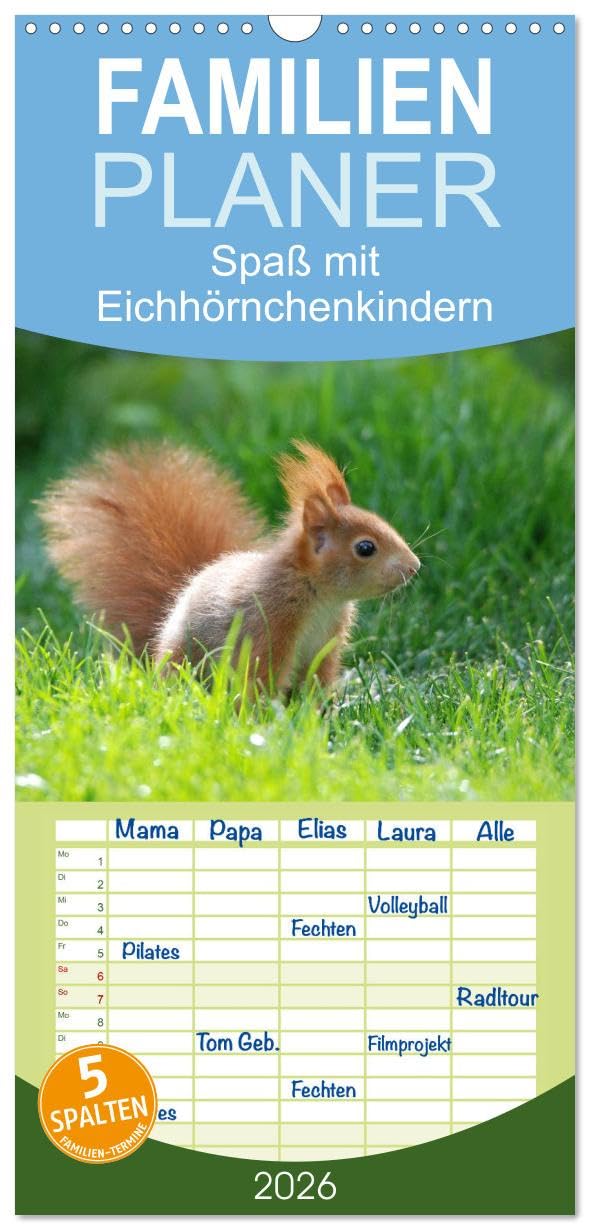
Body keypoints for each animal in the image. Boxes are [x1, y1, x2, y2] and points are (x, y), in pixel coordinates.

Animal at [39, 441, 420, 691]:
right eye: (365, 547)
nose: (413, 567)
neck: (320, 596)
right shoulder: (268, 625)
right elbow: (258, 680)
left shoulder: (325, 644)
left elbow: (317, 681)